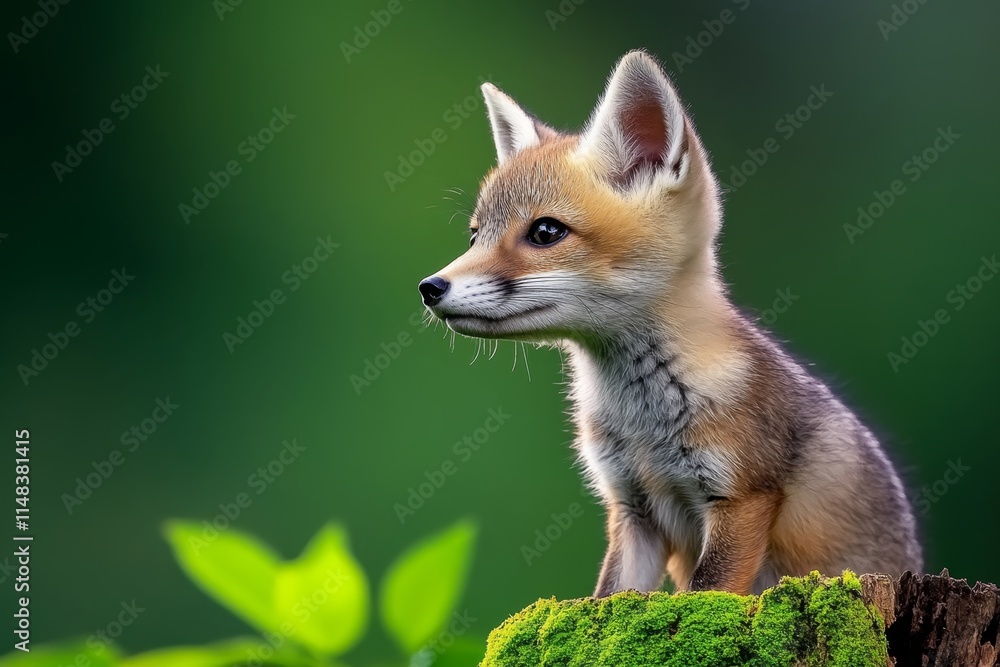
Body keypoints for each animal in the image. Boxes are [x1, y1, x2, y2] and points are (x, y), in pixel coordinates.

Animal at [418, 51, 922, 596]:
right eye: (475, 237)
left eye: (546, 232)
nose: (430, 287)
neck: (643, 428)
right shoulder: (632, 508)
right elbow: (609, 598)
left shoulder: (742, 497)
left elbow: (706, 593)